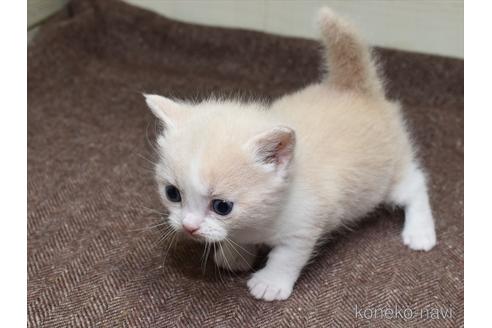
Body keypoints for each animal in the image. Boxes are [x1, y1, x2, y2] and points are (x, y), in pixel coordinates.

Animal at [144, 7, 436, 302]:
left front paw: (270, 284)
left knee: (414, 184)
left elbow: (287, 257)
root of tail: (353, 89)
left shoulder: (305, 225)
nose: (188, 227)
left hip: (386, 177)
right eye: (172, 193)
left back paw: (420, 232)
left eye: (222, 207)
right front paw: (234, 254)